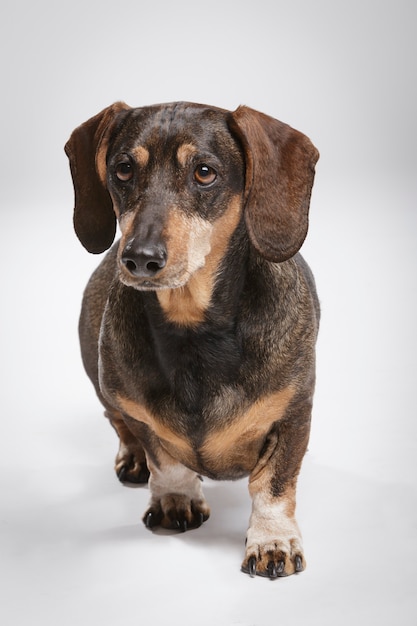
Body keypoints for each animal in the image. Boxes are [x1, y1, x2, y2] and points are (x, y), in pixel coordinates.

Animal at [64, 101, 318, 576]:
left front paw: (271, 540)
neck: (193, 331)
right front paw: (175, 499)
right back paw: (133, 460)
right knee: (117, 422)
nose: (139, 258)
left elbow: (274, 484)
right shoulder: (139, 413)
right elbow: (164, 459)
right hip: (99, 377)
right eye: (123, 168)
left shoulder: (294, 412)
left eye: (204, 172)